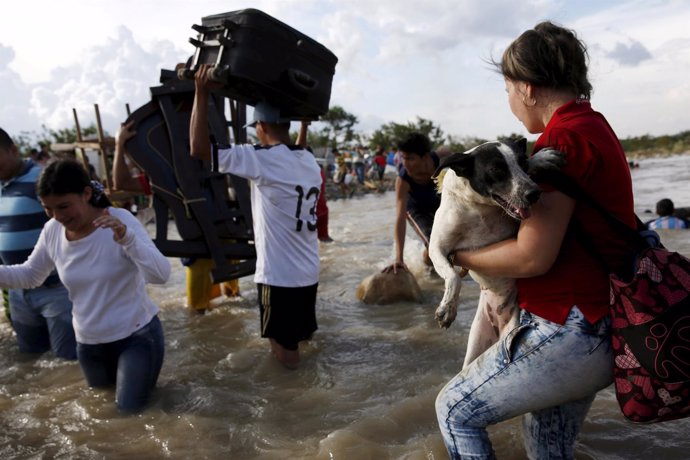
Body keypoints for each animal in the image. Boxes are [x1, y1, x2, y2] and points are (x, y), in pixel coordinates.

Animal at [428, 138, 560, 368]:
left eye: (522, 162)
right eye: (496, 169)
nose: (534, 193)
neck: (480, 207)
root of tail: (499, 322)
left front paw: (540, 158)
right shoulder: (436, 246)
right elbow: (454, 277)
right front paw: (447, 309)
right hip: (474, 348)